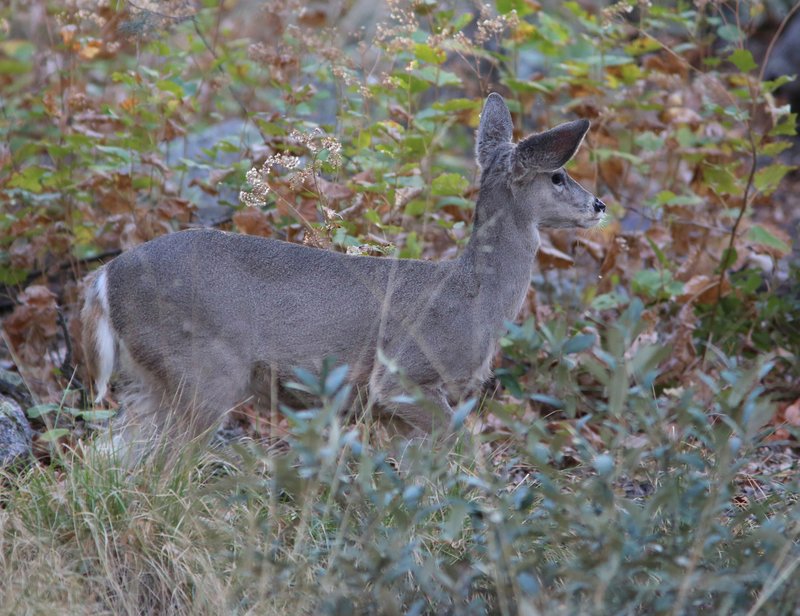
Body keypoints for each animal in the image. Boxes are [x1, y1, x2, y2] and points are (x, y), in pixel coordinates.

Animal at [83, 95, 608, 462]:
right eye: (558, 176)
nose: (600, 206)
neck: (474, 299)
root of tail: (105, 277)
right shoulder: (401, 374)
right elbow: (461, 448)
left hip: (150, 378)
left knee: (109, 453)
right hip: (203, 368)